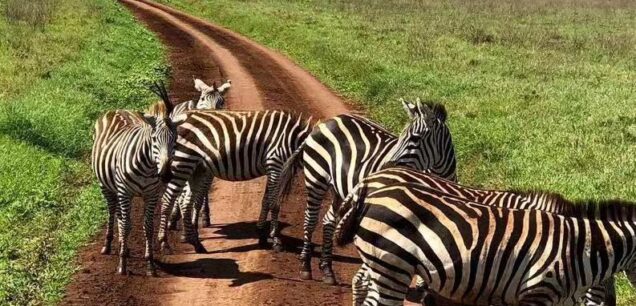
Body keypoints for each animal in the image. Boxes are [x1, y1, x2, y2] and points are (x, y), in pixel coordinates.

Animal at [91, 80, 186, 274]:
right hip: (106, 185)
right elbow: (127, 224)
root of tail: (116, 109)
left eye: (175, 140)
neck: (148, 168)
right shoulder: (125, 192)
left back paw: (123, 246)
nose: (166, 174)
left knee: (120, 216)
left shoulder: (152, 194)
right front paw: (122, 264)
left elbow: (148, 226)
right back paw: (109, 245)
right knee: (113, 211)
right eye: (154, 139)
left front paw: (150, 263)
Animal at [155, 110, 314, 253]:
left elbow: (266, 201)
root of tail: (176, 117)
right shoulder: (275, 165)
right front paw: (276, 240)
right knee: (167, 199)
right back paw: (164, 243)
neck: (291, 140)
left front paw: (261, 235)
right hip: (182, 163)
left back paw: (194, 241)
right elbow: (274, 204)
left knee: (185, 202)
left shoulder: (273, 170)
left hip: (196, 168)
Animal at [278, 98, 458, 284]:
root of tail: (328, 121)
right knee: (310, 219)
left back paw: (327, 270)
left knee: (328, 220)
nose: (387, 166)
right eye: (401, 136)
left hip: (339, 188)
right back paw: (305, 265)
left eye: (415, 138)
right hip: (316, 177)